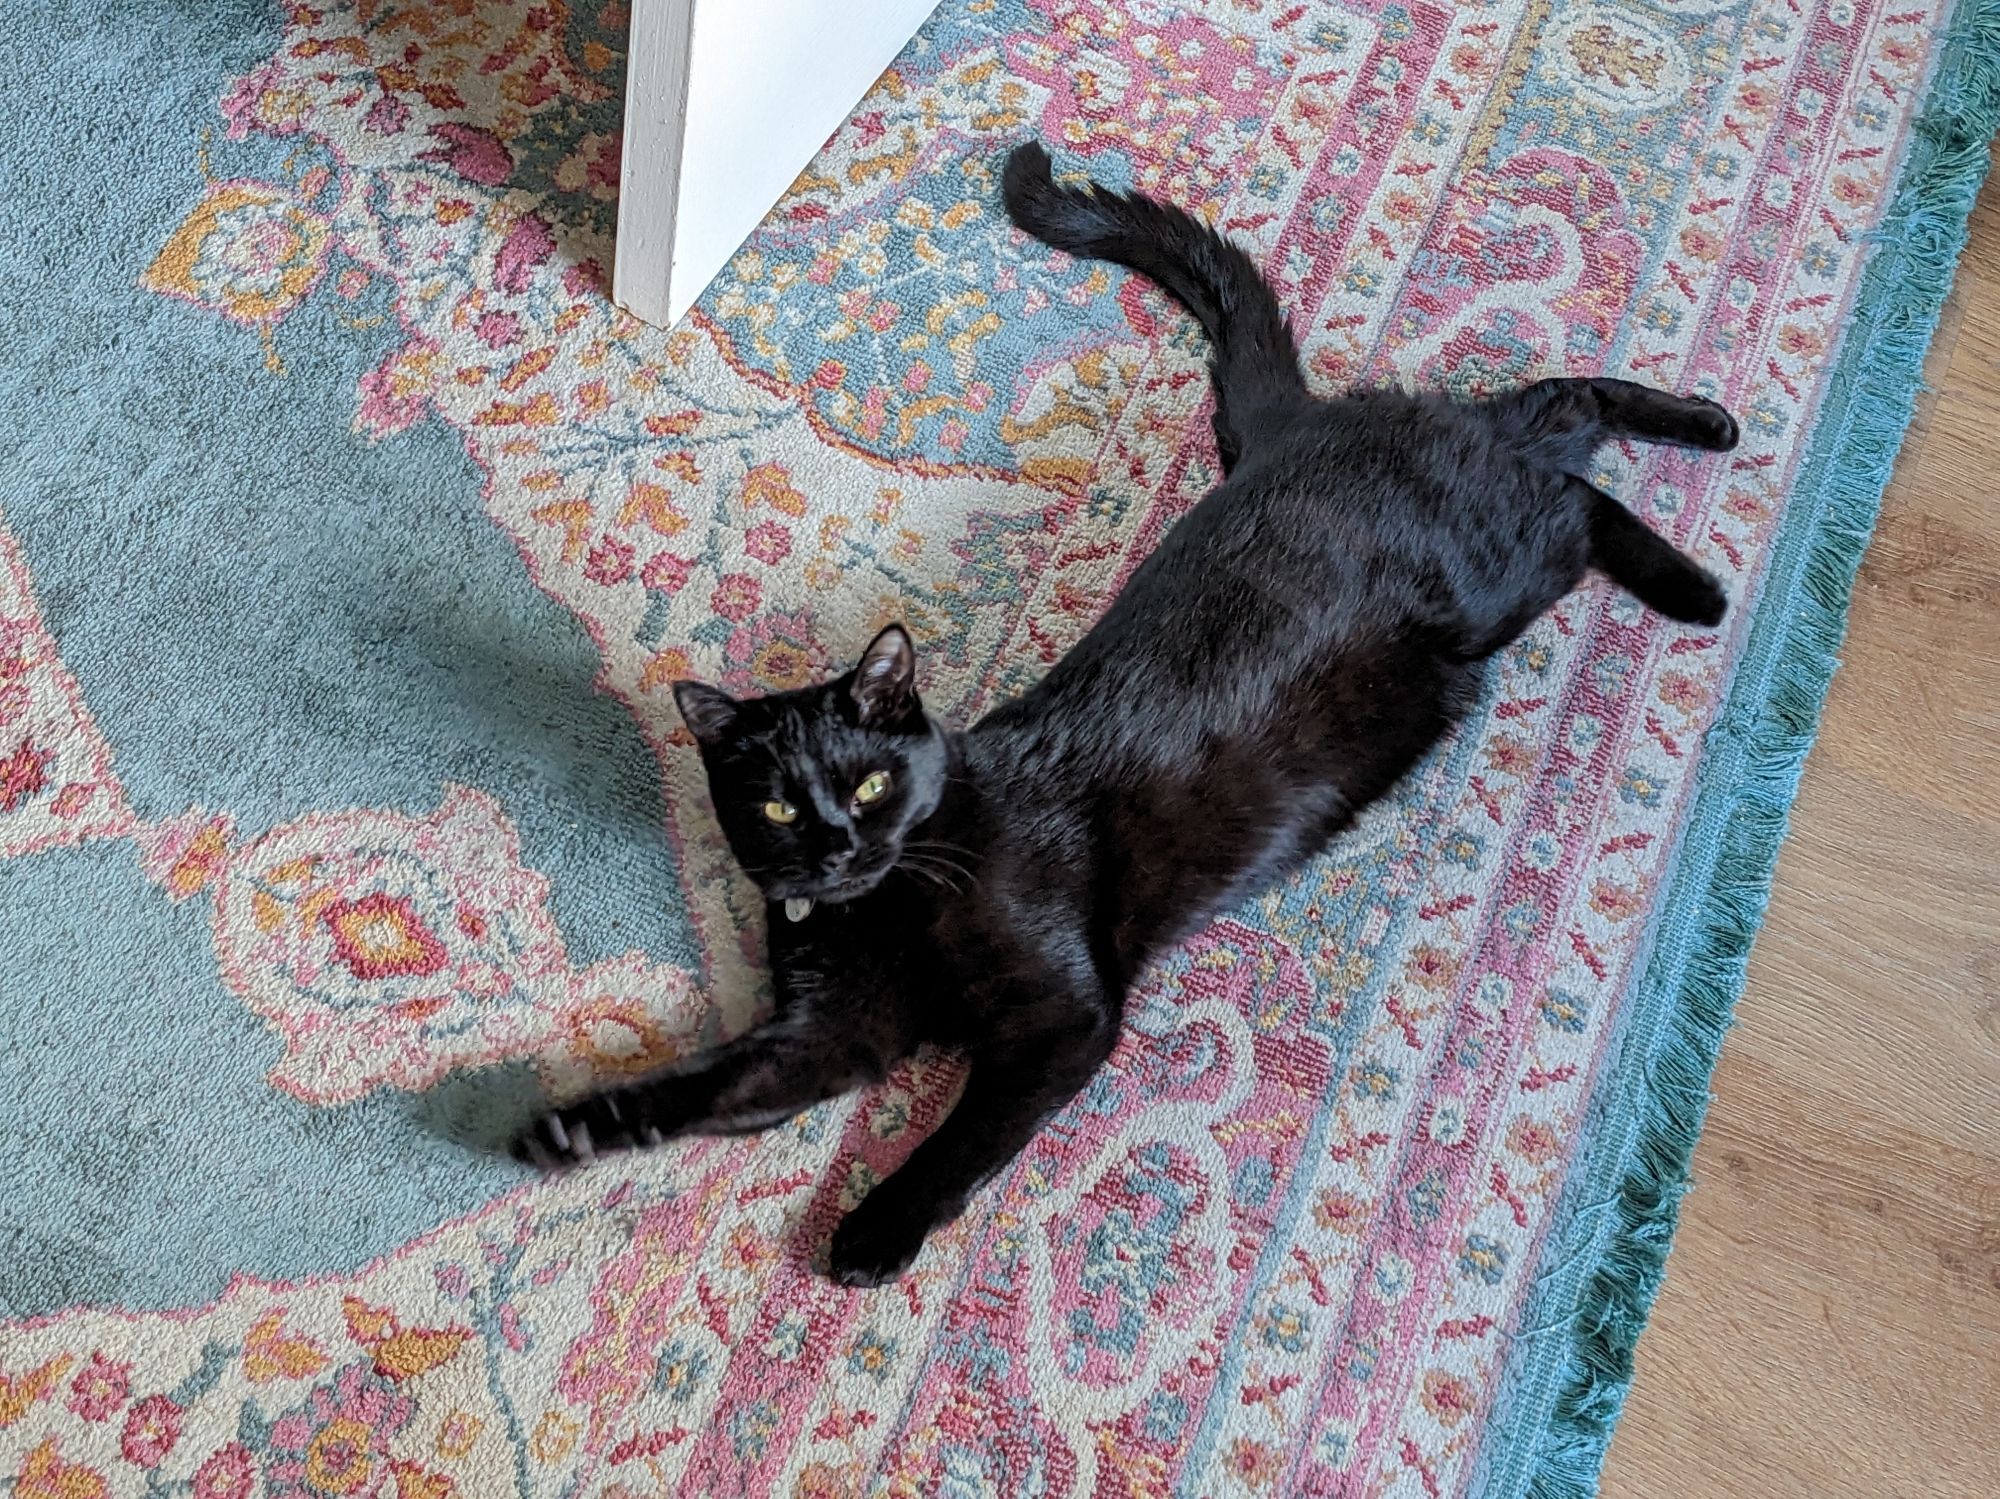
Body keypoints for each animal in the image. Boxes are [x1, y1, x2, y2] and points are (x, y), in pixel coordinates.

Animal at [512, 143, 1736, 1295]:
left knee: (1567, 456)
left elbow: (962, 1136)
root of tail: (1285, 435)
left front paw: (872, 1228)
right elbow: (711, 1084)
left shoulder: (1062, 1014)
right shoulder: (825, 1032)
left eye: (865, 782)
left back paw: (1699, 538)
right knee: (1539, 427)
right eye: (774, 804)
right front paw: (574, 1125)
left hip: (1497, 576)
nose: (837, 845)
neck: (888, 904)